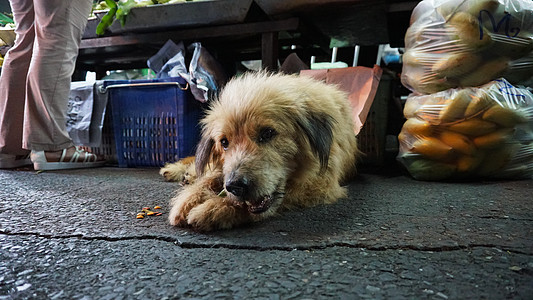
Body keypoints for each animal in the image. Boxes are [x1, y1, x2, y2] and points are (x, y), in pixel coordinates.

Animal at [158, 71, 358, 231]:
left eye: (267, 133)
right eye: (224, 142)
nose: (235, 186)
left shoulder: (322, 183)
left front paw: (216, 207)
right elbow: (210, 178)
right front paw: (188, 199)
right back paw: (179, 171)